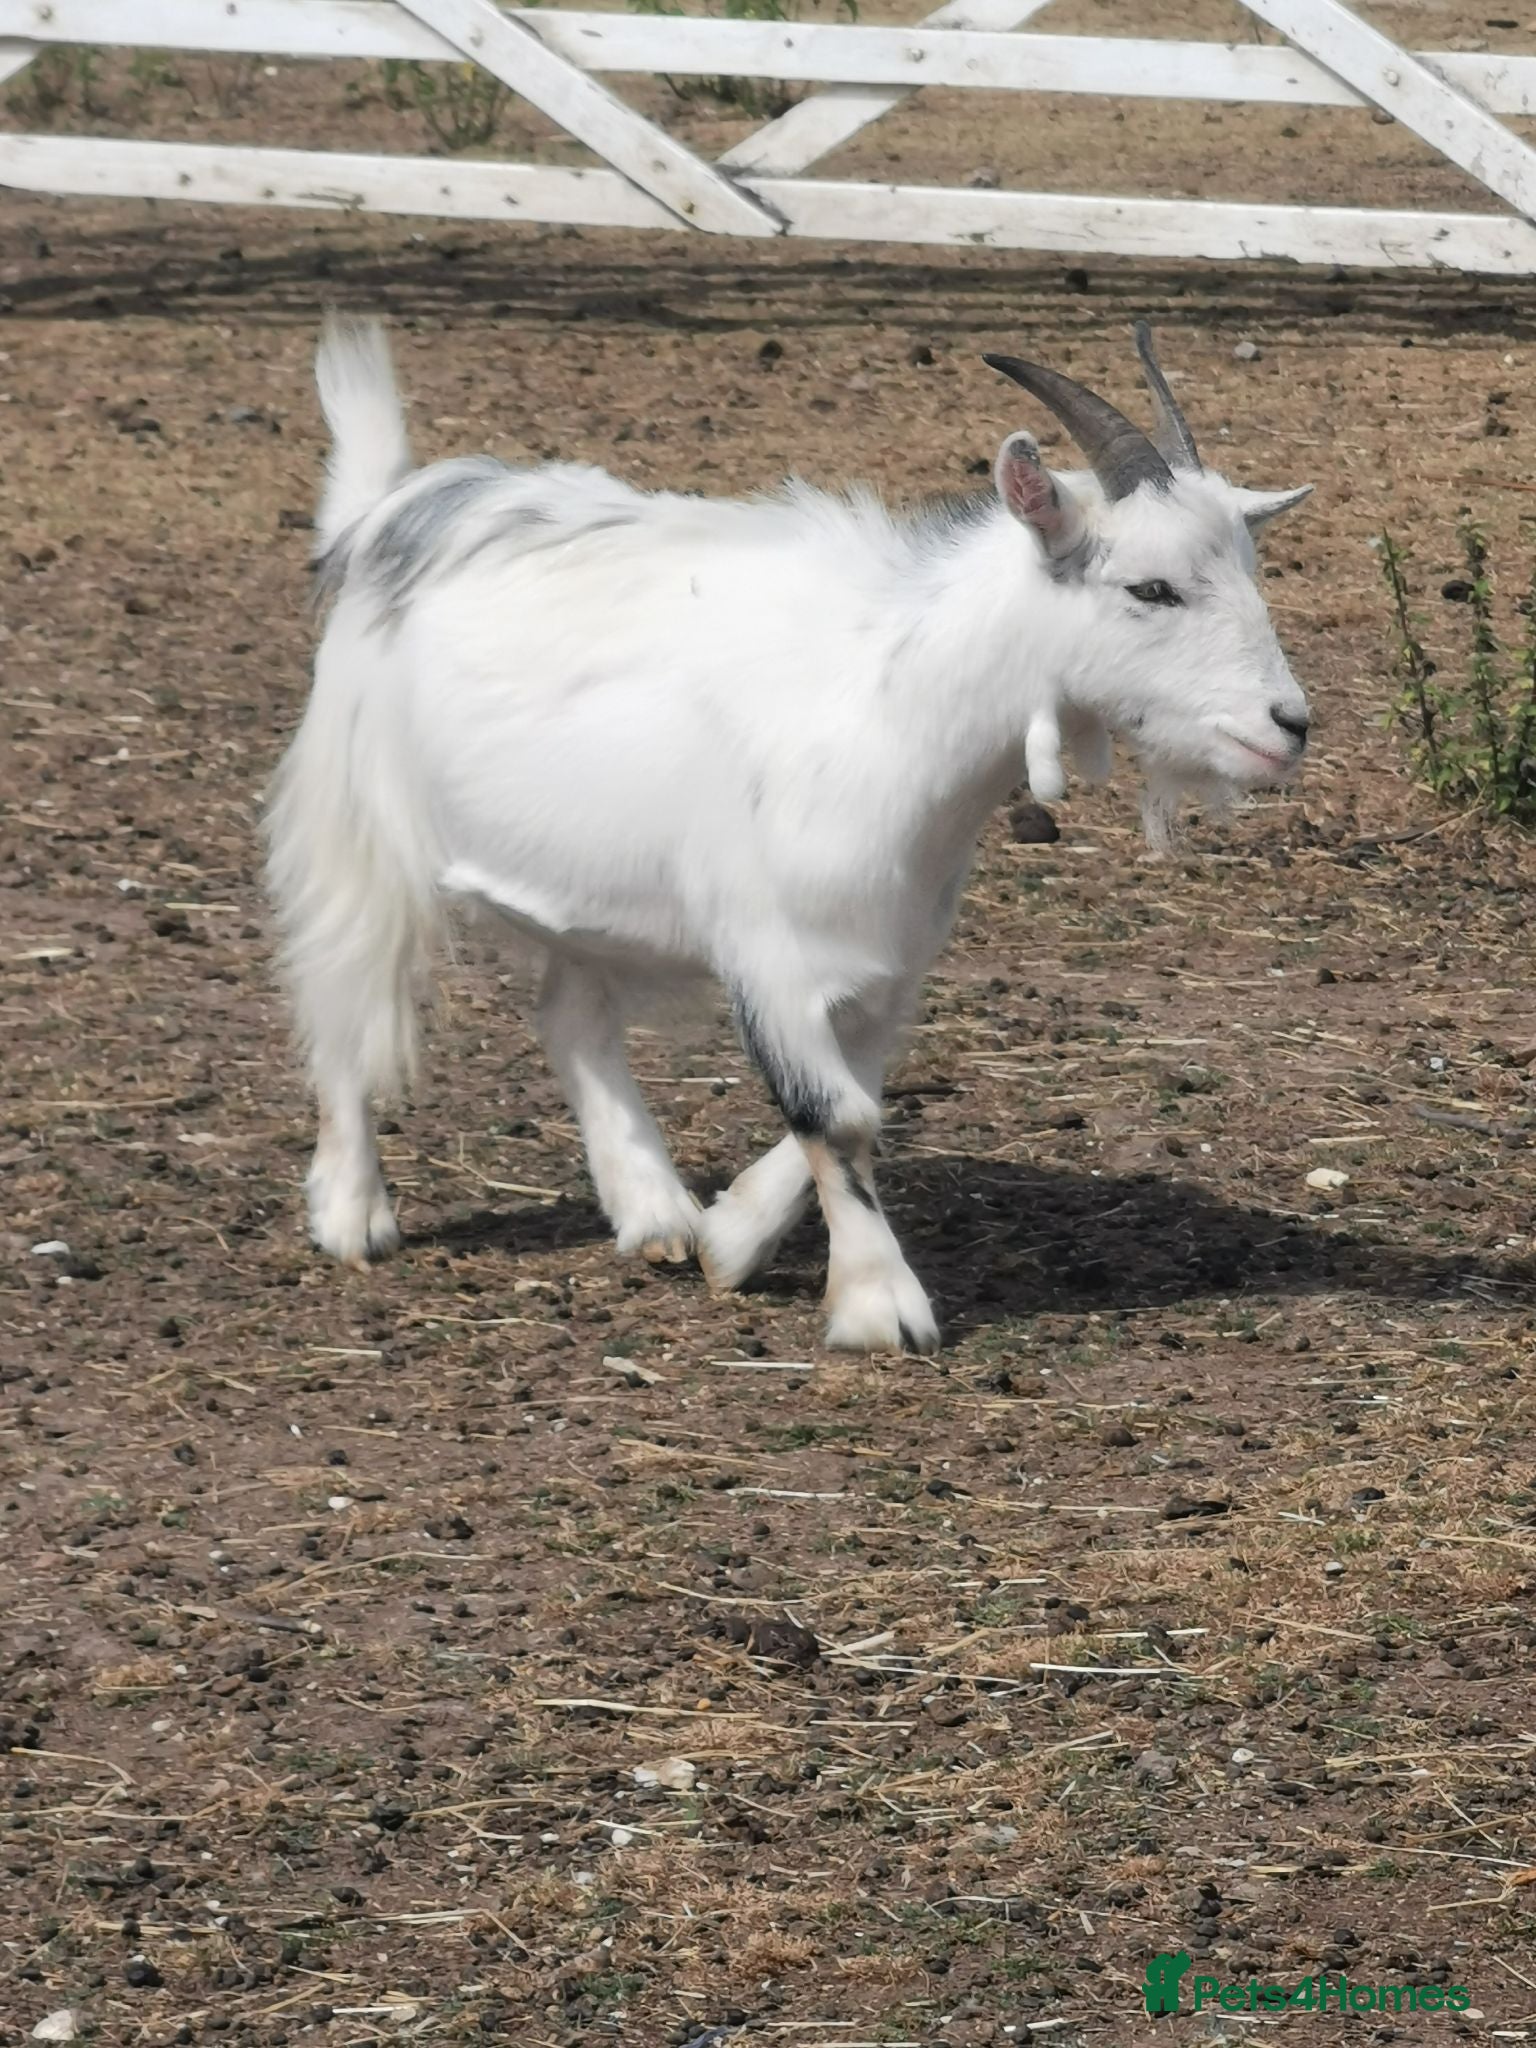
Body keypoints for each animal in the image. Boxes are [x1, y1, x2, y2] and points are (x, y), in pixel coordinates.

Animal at [266, 315, 1312, 1354]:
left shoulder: (885, 962)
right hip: (359, 831)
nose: (1289, 724)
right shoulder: (770, 949)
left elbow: (860, 1098)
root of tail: (391, 513)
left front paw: (731, 1238)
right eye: (1152, 589)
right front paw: (879, 1306)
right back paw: (353, 1214)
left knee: (570, 1014)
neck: (886, 700)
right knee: (343, 995)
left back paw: (655, 1212)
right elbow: (834, 1117)